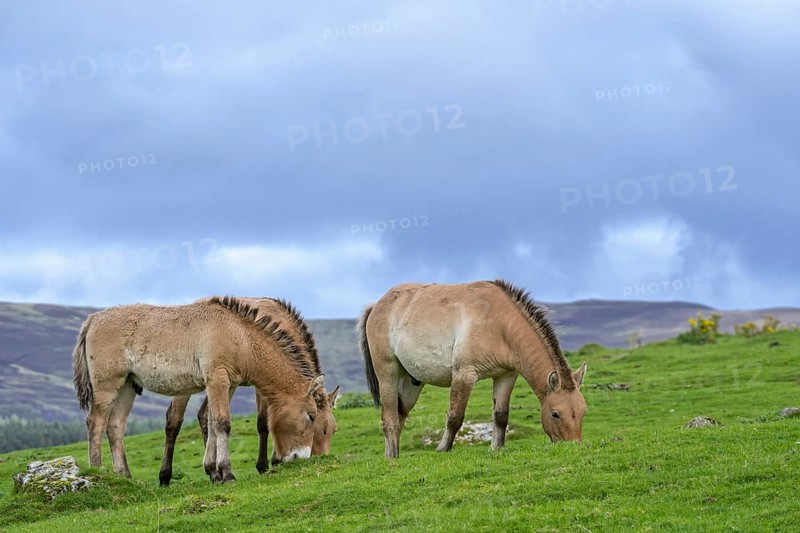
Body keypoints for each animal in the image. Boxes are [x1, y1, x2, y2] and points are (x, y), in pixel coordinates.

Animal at [72, 296, 324, 483]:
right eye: (311, 416)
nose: (302, 457)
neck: (239, 334)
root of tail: (92, 320)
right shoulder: (217, 379)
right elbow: (222, 423)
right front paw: (227, 473)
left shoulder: (227, 384)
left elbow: (211, 423)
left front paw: (216, 473)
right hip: (107, 386)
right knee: (96, 423)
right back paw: (98, 473)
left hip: (127, 386)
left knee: (115, 426)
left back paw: (125, 476)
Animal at [157, 297, 339, 487]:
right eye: (315, 423)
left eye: (333, 430)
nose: (321, 458)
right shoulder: (262, 387)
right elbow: (263, 423)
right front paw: (265, 464)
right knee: (174, 421)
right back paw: (166, 475)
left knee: (204, 414)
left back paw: (213, 472)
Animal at [359, 279, 587, 458]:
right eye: (555, 414)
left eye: (583, 412)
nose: (573, 446)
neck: (498, 323)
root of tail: (377, 305)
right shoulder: (464, 375)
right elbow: (455, 417)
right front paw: (442, 449)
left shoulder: (506, 375)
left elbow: (501, 416)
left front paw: (496, 448)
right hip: (387, 373)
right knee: (389, 417)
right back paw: (392, 458)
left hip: (411, 383)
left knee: (399, 416)